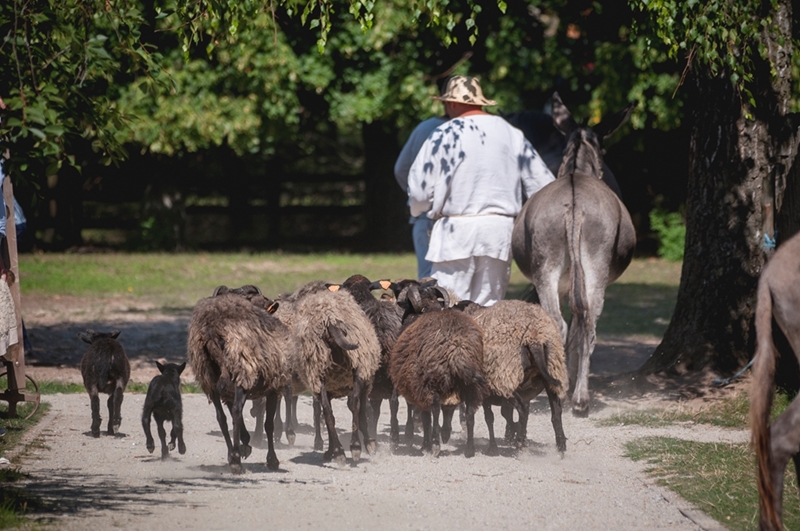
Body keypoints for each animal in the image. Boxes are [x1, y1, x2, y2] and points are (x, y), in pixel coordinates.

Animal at [187, 285, 290, 473]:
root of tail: (211, 331)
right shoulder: (273, 388)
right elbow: (268, 424)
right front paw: (272, 460)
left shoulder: (227, 390)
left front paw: (245, 442)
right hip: (242, 370)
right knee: (236, 410)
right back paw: (235, 461)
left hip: (209, 377)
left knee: (222, 417)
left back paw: (233, 455)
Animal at [271, 280, 382, 464]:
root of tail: (328, 321)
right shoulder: (364, 379)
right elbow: (360, 411)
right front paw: (369, 443)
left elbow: (327, 413)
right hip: (356, 370)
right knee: (354, 405)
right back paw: (354, 447)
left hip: (318, 374)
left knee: (326, 410)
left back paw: (336, 451)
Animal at [389, 282, 488, 457]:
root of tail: (458, 349)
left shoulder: (407, 379)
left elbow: (400, 405)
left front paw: (399, 440)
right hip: (469, 384)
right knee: (468, 412)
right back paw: (468, 448)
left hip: (432, 379)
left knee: (434, 409)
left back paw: (435, 444)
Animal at [455, 299, 568, 454]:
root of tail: (535, 339)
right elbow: (500, 414)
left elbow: (488, 417)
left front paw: (493, 447)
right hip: (550, 373)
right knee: (556, 413)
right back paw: (560, 446)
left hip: (506, 377)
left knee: (522, 409)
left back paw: (520, 444)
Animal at [510, 92, 637, 417]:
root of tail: (574, 202)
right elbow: (578, 327)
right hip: (589, 268)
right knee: (583, 325)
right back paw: (575, 397)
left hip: (552, 270)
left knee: (569, 323)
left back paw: (570, 393)